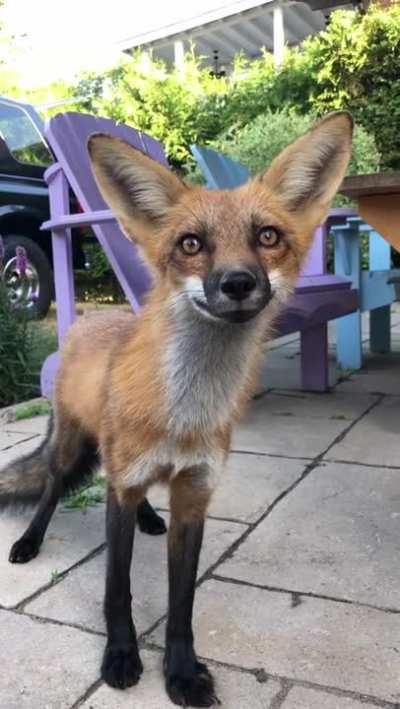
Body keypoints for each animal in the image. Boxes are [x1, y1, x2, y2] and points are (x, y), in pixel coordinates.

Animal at [0, 112, 352, 707]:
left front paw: (182, 672)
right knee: (51, 486)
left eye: (268, 236)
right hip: (73, 445)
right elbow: (117, 589)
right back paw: (30, 541)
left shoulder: (195, 493)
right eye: (191, 243)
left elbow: (182, 603)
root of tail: (92, 320)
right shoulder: (126, 487)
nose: (238, 282)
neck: (182, 416)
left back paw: (147, 517)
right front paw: (121, 657)